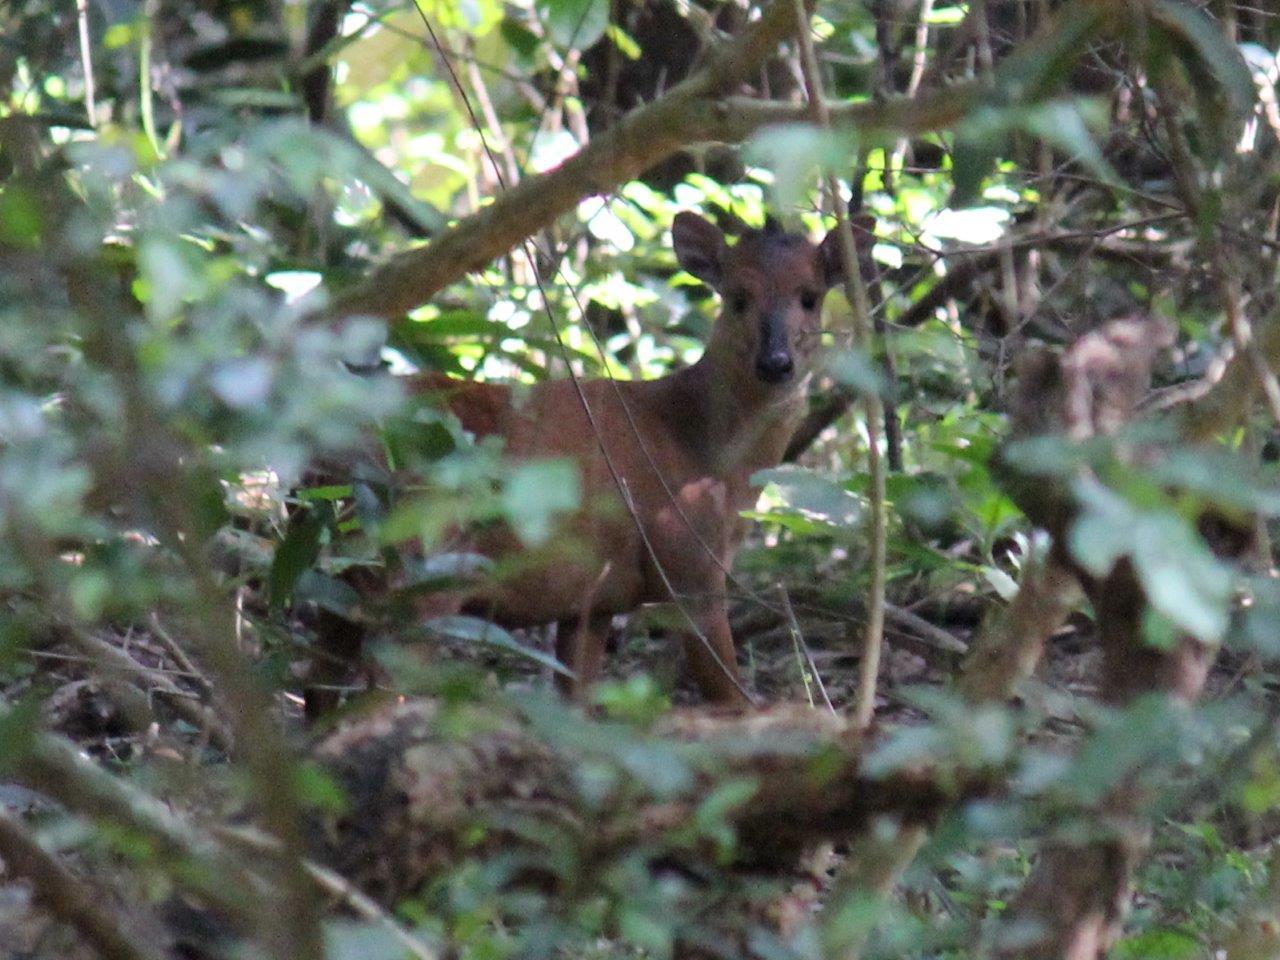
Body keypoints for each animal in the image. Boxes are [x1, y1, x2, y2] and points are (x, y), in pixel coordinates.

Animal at [304, 213, 875, 716]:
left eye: (810, 296)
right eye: (737, 298)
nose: (776, 362)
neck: (706, 455)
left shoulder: (595, 598)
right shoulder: (686, 563)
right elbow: (731, 698)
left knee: (319, 686)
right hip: (422, 564)